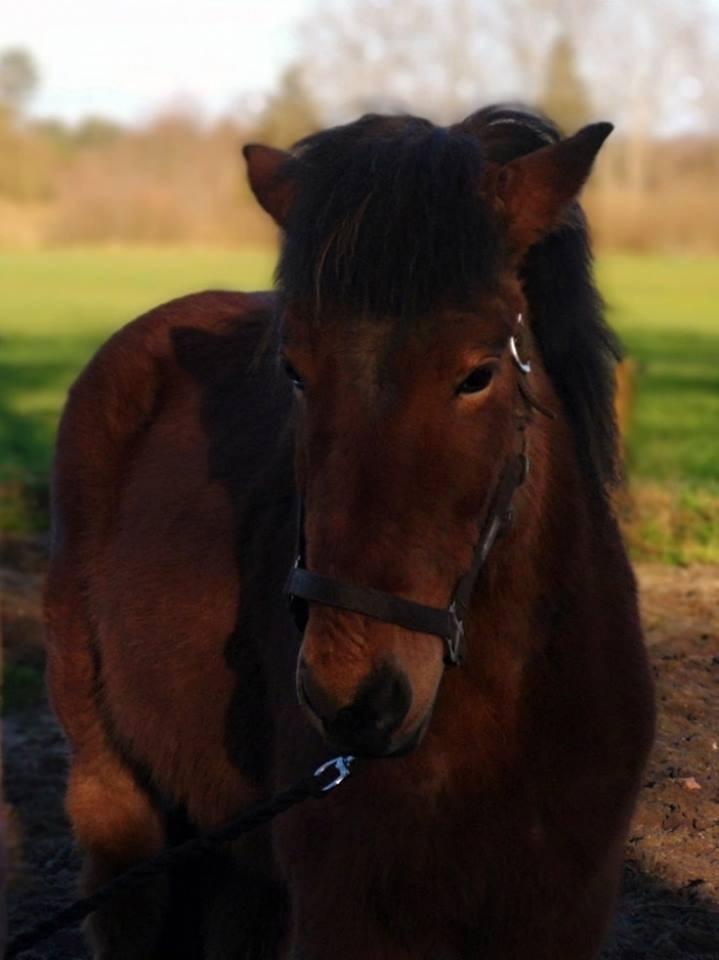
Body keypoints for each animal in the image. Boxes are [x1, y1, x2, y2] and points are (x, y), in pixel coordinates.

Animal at [42, 107, 656, 960]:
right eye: (294, 371)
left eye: (478, 373)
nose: (355, 698)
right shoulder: (349, 918)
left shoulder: (563, 913)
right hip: (116, 797)